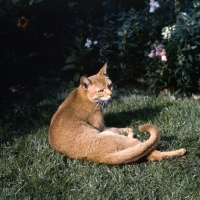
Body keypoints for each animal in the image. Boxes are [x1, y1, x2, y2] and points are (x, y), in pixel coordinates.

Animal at [48, 63, 186, 164]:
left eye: (110, 85)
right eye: (101, 91)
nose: (111, 94)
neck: (81, 95)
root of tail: (97, 157)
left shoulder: (105, 128)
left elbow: (118, 127)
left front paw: (129, 130)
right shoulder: (102, 127)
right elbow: (116, 127)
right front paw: (128, 129)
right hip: (115, 138)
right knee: (152, 153)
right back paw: (179, 151)